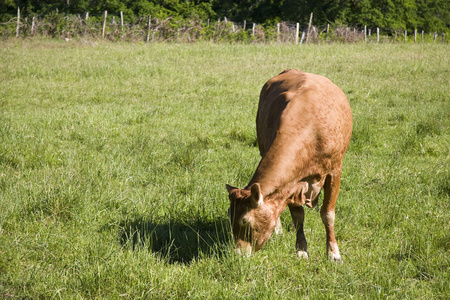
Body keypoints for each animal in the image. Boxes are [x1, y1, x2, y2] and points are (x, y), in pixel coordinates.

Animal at [227, 68, 354, 260]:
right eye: (230, 216)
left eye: (245, 221)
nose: (238, 255)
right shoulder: (293, 182)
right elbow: (298, 215)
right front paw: (301, 249)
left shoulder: (334, 171)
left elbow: (328, 214)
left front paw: (333, 253)